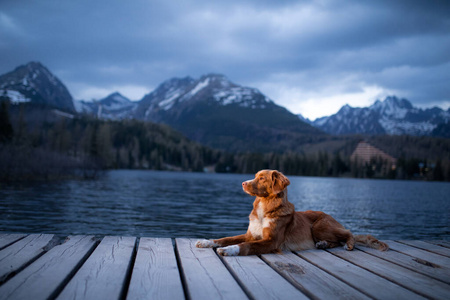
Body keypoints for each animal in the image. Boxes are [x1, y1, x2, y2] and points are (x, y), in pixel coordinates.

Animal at [195, 169, 388, 255]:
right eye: (255, 176)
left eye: (262, 178)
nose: (243, 183)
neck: (265, 208)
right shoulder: (250, 234)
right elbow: (225, 238)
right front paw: (206, 242)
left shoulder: (271, 241)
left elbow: (245, 245)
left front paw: (229, 250)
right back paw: (323, 244)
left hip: (319, 226)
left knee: (349, 233)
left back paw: (348, 244)